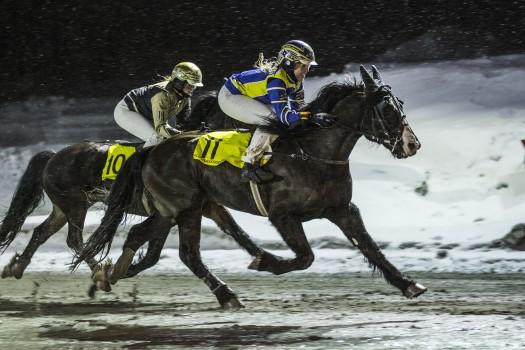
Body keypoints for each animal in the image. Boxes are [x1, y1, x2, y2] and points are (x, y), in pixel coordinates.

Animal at [0, 91, 264, 284]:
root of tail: (53, 156)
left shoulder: (203, 207)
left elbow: (236, 231)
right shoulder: (172, 212)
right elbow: (152, 254)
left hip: (63, 207)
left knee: (40, 232)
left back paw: (16, 267)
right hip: (75, 205)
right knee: (74, 240)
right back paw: (99, 271)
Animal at [78, 65, 428, 306]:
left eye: (400, 102)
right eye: (387, 108)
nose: (412, 145)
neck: (312, 153)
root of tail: (153, 149)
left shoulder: (342, 208)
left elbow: (370, 247)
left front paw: (409, 284)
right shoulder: (282, 216)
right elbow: (305, 257)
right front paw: (264, 261)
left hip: (174, 209)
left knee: (140, 236)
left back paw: (109, 275)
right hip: (186, 208)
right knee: (188, 254)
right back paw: (226, 295)